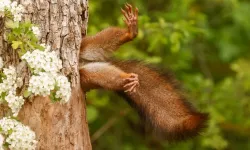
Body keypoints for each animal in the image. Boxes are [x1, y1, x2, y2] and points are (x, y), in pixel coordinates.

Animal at [79, 3, 208, 142]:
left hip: (85, 46)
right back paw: (127, 79)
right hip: (86, 74)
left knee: (100, 42)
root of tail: (83, 62)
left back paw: (130, 33)